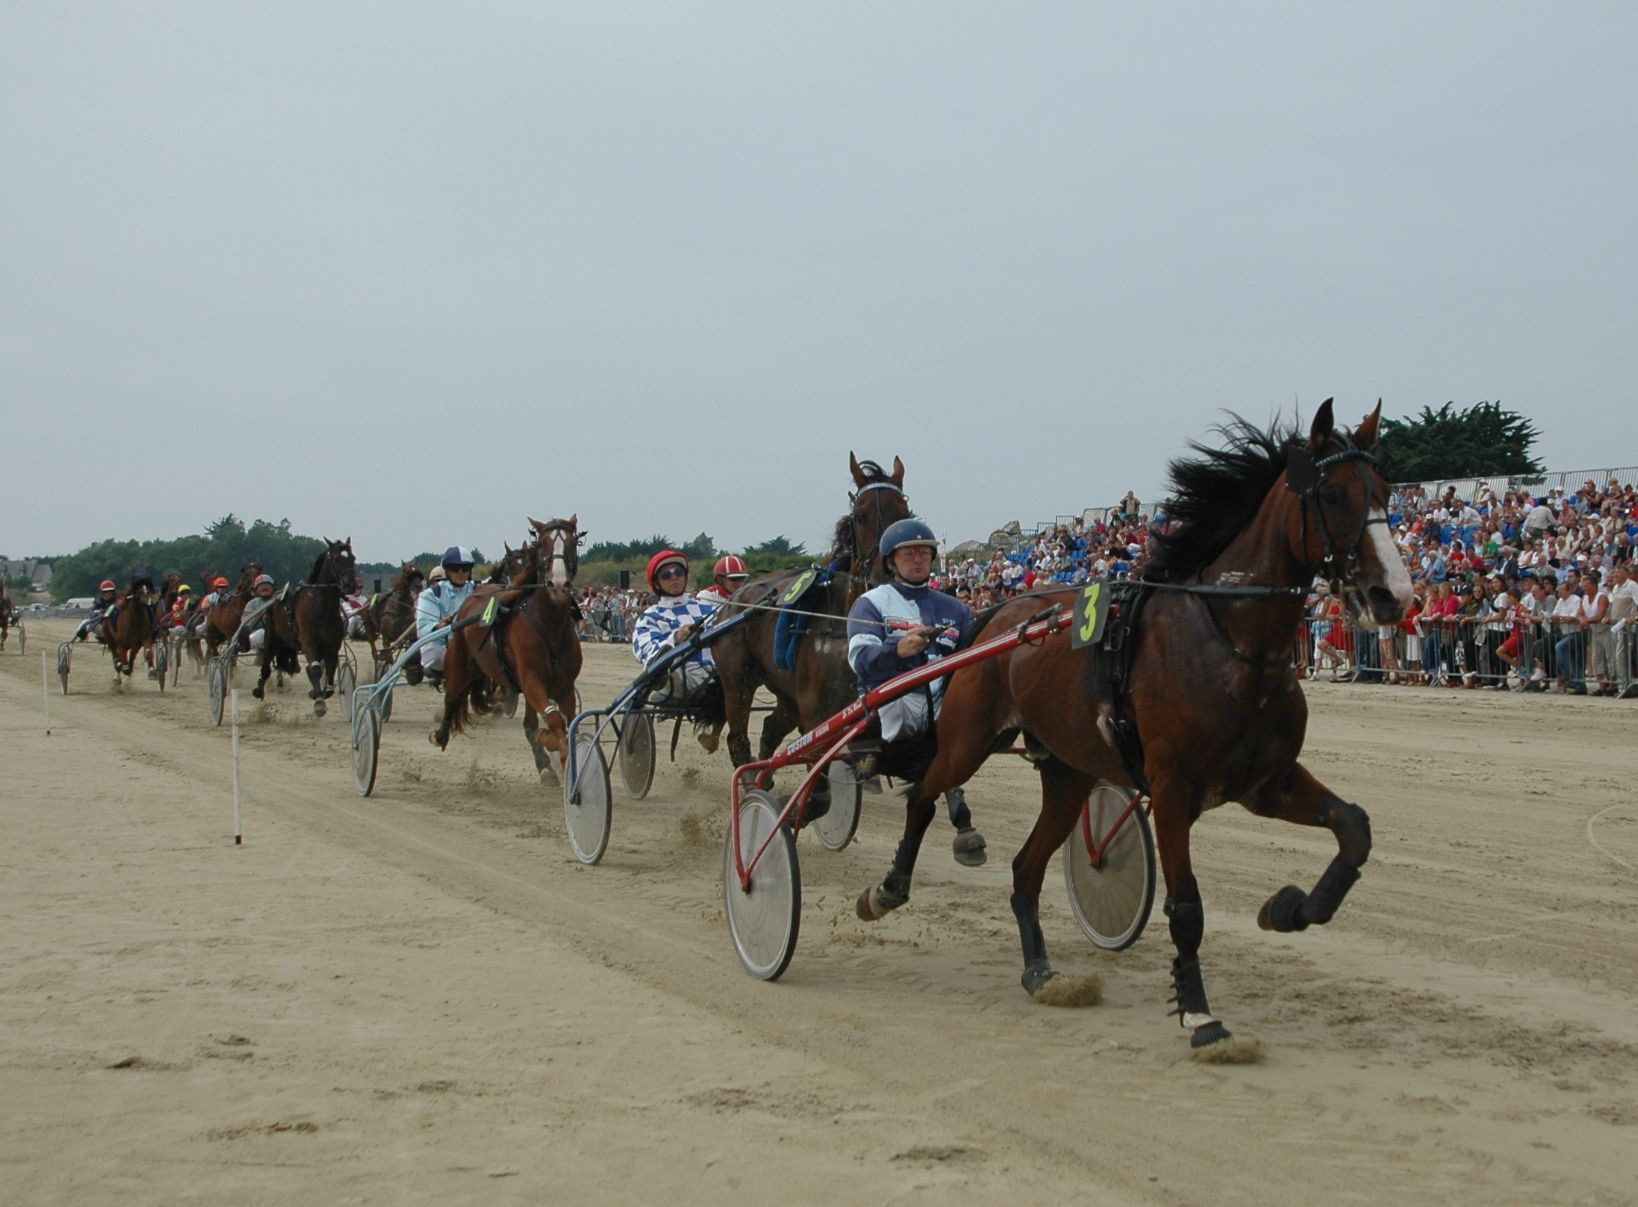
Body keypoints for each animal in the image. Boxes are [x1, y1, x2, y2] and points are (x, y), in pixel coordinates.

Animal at [432, 517, 586, 782]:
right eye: (542, 544)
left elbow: (562, 724)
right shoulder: (532, 680)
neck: (550, 625)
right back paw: (441, 734)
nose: (558, 584)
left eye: (573, 543)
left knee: (528, 723)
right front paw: (555, 747)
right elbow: (555, 721)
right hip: (458, 660)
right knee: (452, 694)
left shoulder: (564, 686)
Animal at [858, 402, 1408, 1048]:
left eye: (1386, 491)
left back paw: (1040, 971)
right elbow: (1187, 908)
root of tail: (991, 617)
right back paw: (888, 888)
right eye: (1331, 494)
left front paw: (1289, 908)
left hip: (1068, 773)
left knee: (1025, 867)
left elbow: (1354, 829)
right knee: (924, 793)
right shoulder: (1173, 790)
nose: (1393, 593)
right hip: (968, 740)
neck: (1229, 642)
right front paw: (1199, 1014)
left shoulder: (1266, 782)